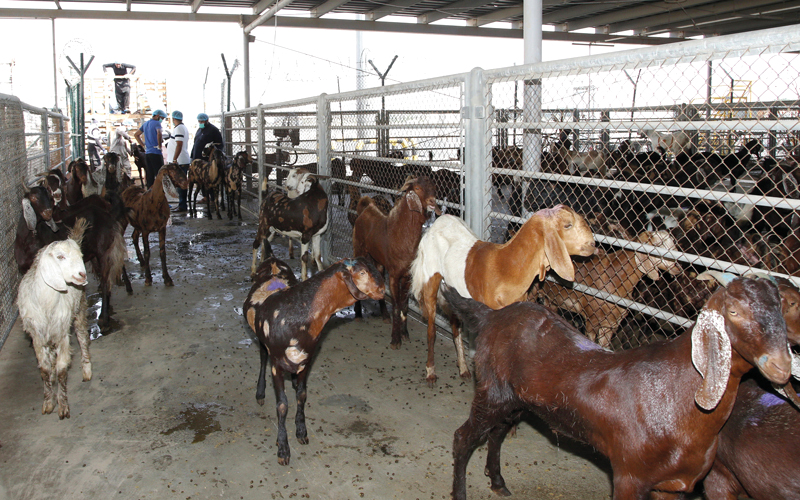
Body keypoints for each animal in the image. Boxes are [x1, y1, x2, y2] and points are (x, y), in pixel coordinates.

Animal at [17, 221, 92, 420]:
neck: (45, 304)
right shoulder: (37, 337)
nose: (82, 275)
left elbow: (62, 370)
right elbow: (44, 370)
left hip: (79, 309)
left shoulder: (62, 335)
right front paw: (48, 402)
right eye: (60, 257)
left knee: (83, 338)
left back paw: (87, 370)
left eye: (80, 256)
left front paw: (63, 406)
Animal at [241, 258, 384, 464]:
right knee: (262, 357)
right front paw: (283, 449)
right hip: (262, 342)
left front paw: (301, 432)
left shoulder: (306, 361)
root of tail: (272, 259)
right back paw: (260, 393)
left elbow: (301, 395)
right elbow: (282, 405)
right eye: (362, 272)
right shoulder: (276, 364)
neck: (297, 314)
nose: (382, 290)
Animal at [352, 176, 438, 348]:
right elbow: (397, 305)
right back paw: (358, 314)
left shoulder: (407, 276)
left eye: (433, 187)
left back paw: (385, 316)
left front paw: (405, 334)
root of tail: (366, 208)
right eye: (417, 188)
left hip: (378, 260)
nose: (432, 201)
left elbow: (404, 305)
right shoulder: (394, 275)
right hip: (359, 248)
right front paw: (395, 340)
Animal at [410, 205, 596, 384]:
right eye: (567, 225)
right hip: (430, 278)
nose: (593, 244)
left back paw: (463, 368)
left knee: (455, 326)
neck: (506, 268)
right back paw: (431, 372)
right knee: (431, 329)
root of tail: (438, 222)